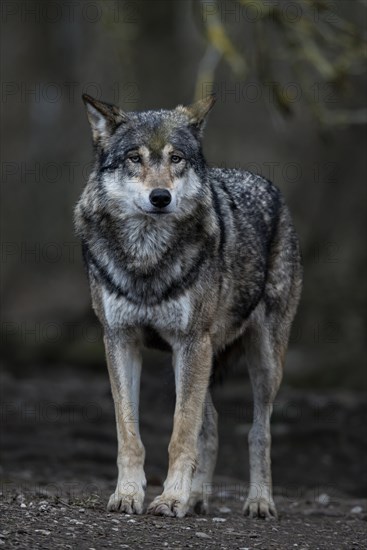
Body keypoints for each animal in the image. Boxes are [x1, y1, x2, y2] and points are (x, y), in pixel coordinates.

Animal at [74, 95, 302, 520]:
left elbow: (181, 434)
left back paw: (259, 502)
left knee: (258, 431)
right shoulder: (119, 340)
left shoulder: (191, 342)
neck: (147, 259)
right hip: (199, 359)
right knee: (209, 424)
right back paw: (198, 498)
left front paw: (170, 499)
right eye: (134, 158)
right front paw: (129, 494)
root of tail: (265, 183)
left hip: (261, 361)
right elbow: (129, 432)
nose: (160, 197)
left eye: (176, 158)